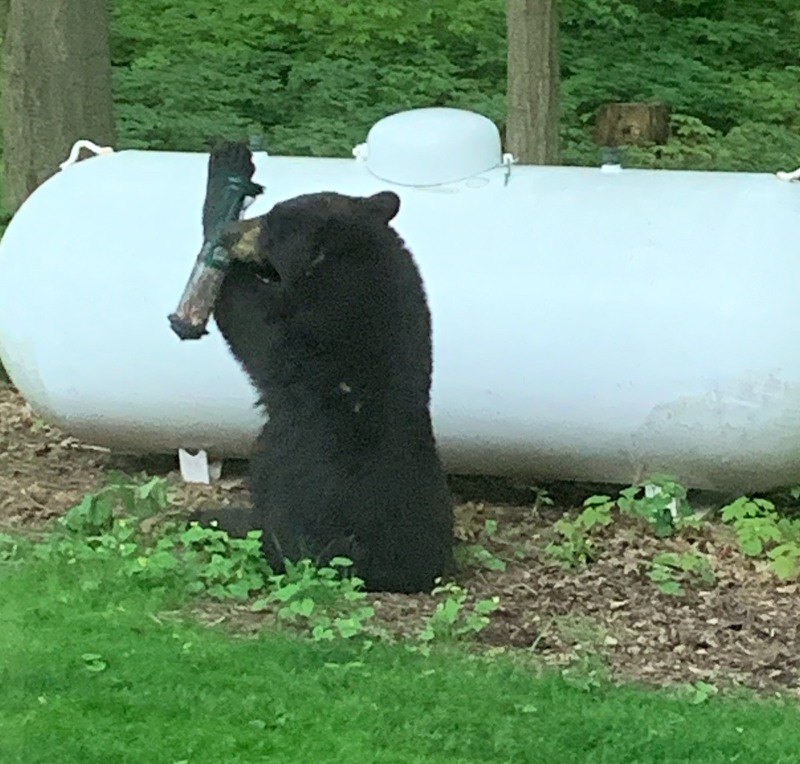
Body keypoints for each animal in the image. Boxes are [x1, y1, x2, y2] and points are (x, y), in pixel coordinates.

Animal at [197, 188, 454, 592]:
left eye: (269, 223)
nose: (230, 232)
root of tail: (391, 570)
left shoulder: (314, 321)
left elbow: (254, 322)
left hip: (289, 481)